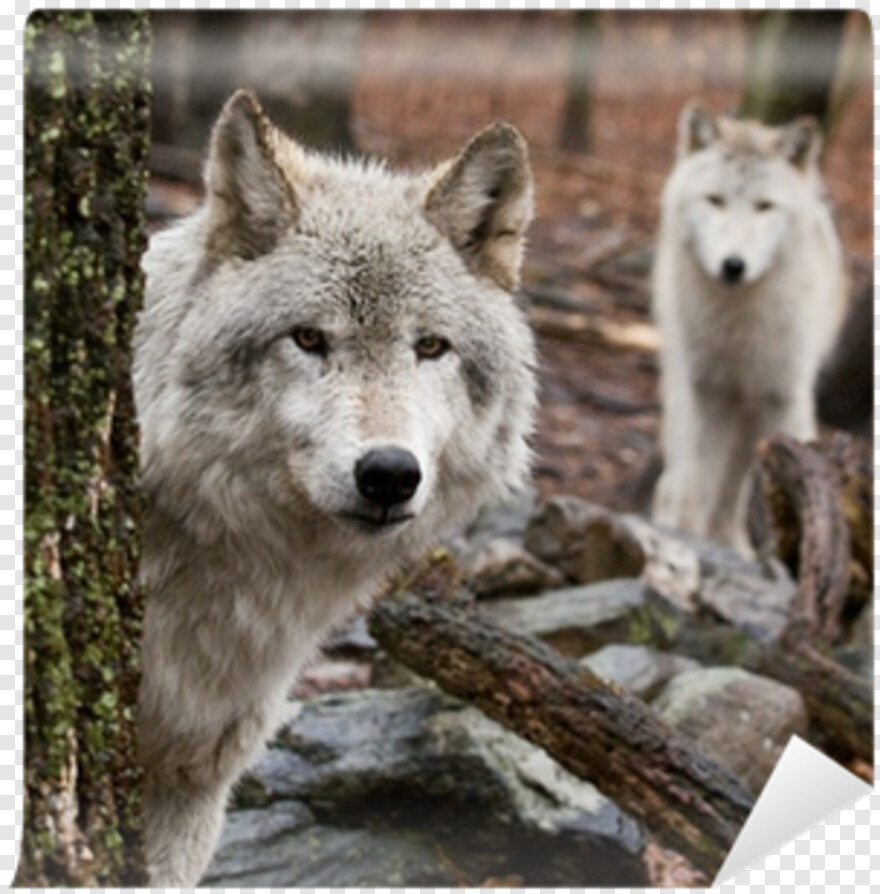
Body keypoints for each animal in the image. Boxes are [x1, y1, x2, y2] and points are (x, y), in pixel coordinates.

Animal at [652, 102, 847, 555]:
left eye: (764, 206)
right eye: (715, 200)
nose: (733, 265)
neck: (739, 327)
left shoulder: (782, 399)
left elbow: (750, 485)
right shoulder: (708, 392)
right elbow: (698, 482)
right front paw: (687, 539)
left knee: (734, 483)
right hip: (683, 385)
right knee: (676, 475)